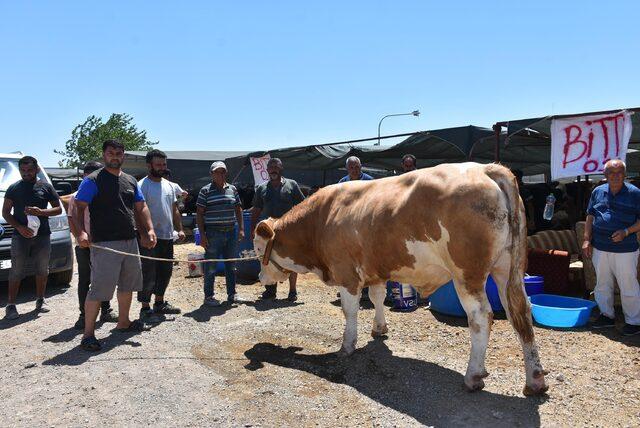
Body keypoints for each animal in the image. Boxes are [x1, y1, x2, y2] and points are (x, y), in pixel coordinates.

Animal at [252, 163, 548, 394]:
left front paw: (347, 346)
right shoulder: (376, 269)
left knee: (481, 317)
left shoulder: (347, 274)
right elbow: (377, 297)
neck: (322, 219)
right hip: (508, 269)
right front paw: (379, 329)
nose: (259, 277)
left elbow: (350, 310)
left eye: (256, 247)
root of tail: (486, 168)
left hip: (468, 274)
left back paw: (473, 376)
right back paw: (535, 381)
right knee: (520, 312)